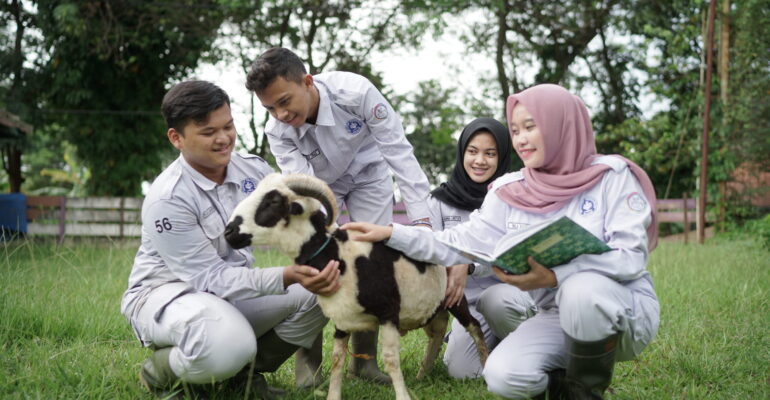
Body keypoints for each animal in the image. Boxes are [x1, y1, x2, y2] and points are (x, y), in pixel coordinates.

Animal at [224, 174, 486, 400]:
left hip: (455, 297)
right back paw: (422, 376)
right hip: (431, 306)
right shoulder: (342, 319)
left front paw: (402, 396)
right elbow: (337, 358)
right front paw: (333, 395)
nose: (229, 231)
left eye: (273, 200)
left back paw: (483, 371)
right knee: (436, 333)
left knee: (474, 327)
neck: (339, 256)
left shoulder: (389, 312)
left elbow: (390, 358)